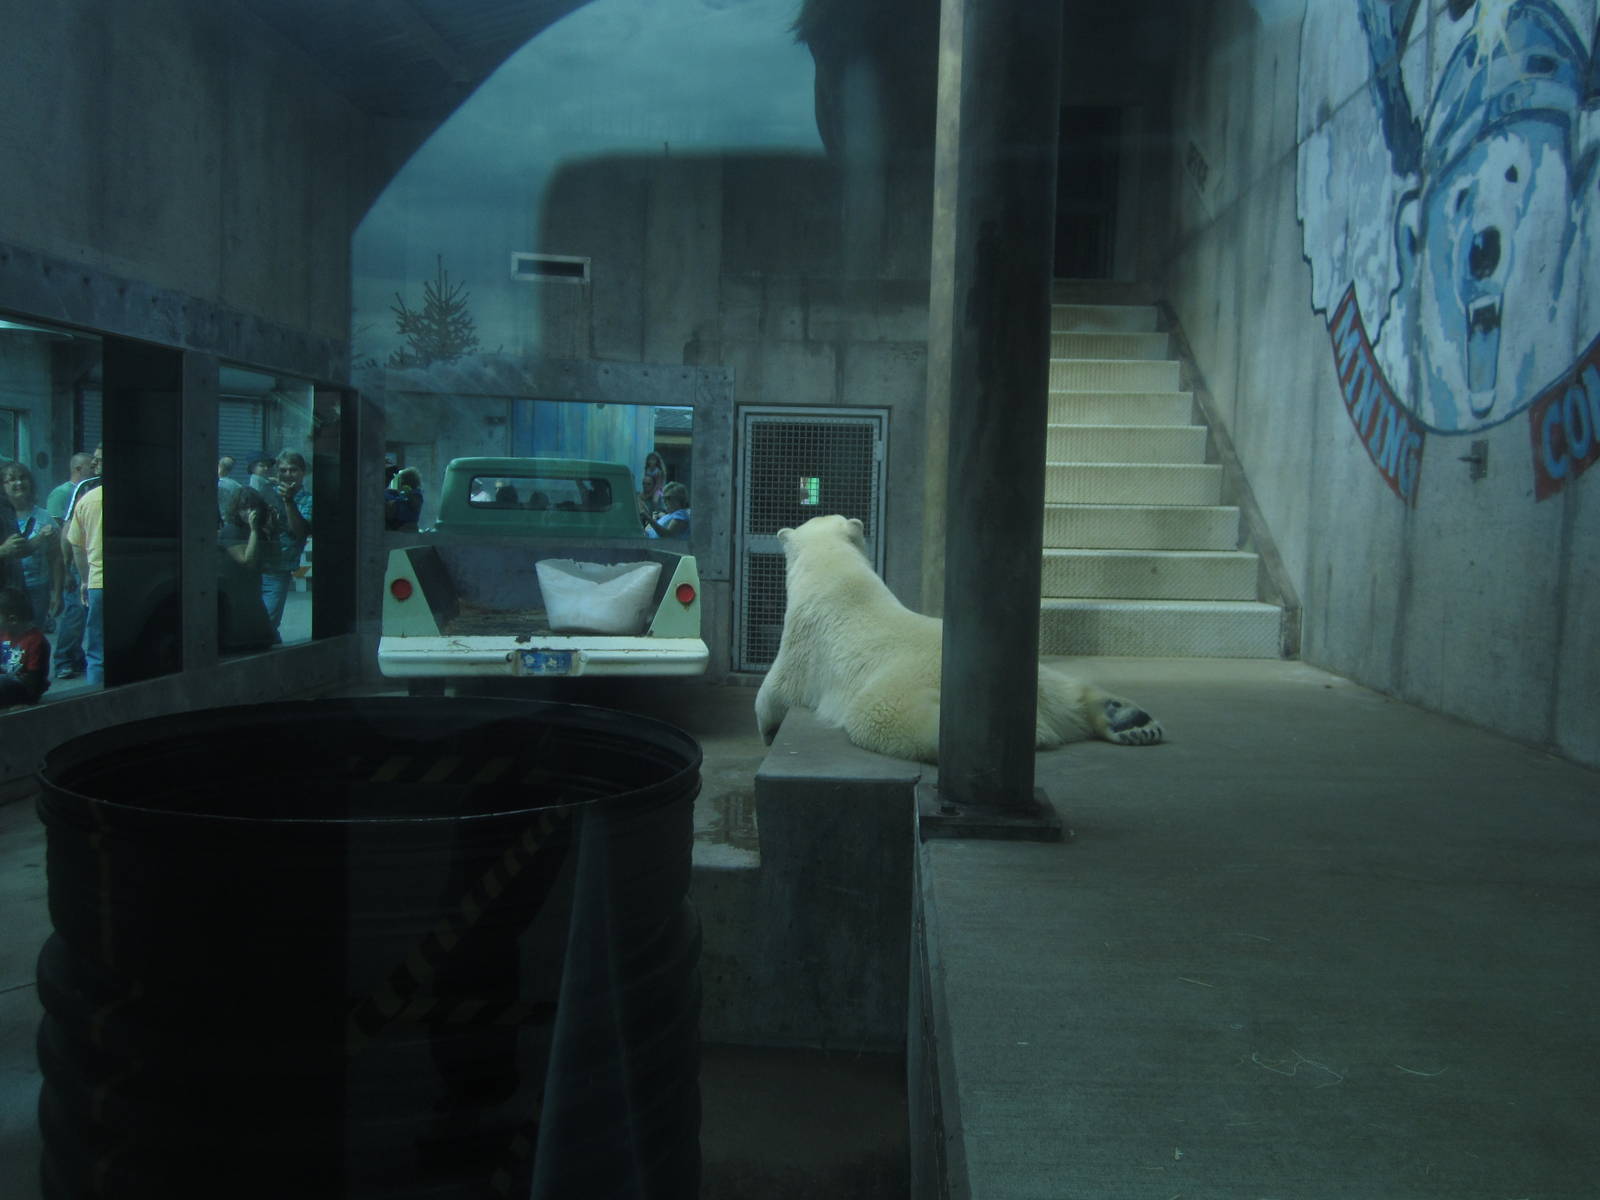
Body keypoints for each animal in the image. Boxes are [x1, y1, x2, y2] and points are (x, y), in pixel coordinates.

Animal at [754, 514, 1164, 763]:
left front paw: (769, 731)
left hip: (904, 681)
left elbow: (772, 693)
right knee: (1072, 690)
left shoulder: (802, 643)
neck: (836, 573)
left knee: (881, 716)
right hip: (1038, 675)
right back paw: (1130, 721)